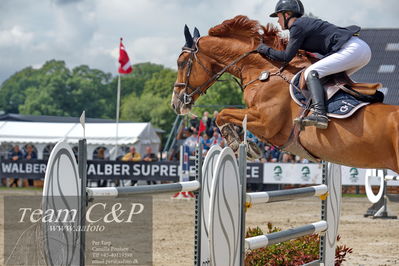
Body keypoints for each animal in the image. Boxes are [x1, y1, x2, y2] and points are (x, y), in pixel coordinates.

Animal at [173, 15, 399, 172]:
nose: (176, 103)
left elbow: (222, 114)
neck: (264, 71)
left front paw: (237, 142)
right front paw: (247, 144)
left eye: (181, 62)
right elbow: (227, 116)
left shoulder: (266, 121)